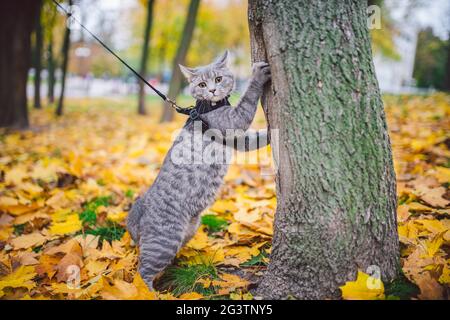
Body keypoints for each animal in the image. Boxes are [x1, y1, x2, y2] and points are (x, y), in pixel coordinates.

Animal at [128, 50, 272, 290]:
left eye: (219, 79)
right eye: (202, 84)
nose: (212, 90)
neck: (209, 107)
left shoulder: (237, 138)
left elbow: (256, 139)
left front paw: (271, 132)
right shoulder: (234, 120)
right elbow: (248, 99)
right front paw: (257, 75)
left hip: (188, 231)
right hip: (164, 241)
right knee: (142, 273)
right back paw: (150, 292)